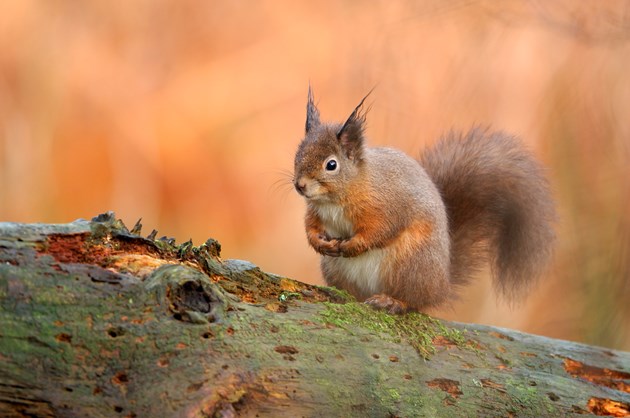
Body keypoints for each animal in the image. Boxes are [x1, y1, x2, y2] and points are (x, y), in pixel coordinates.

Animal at [296, 86, 556, 312]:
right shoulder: (316, 212)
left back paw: (391, 302)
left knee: (414, 301)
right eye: (298, 154)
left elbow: (382, 229)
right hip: (336, 269)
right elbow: (311, 227)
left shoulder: (388, 204)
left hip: (409, 264)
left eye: (331, 165)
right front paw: (319, 243)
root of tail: (442, 284)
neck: (335, 199)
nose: (300, 185)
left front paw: (353, 245)